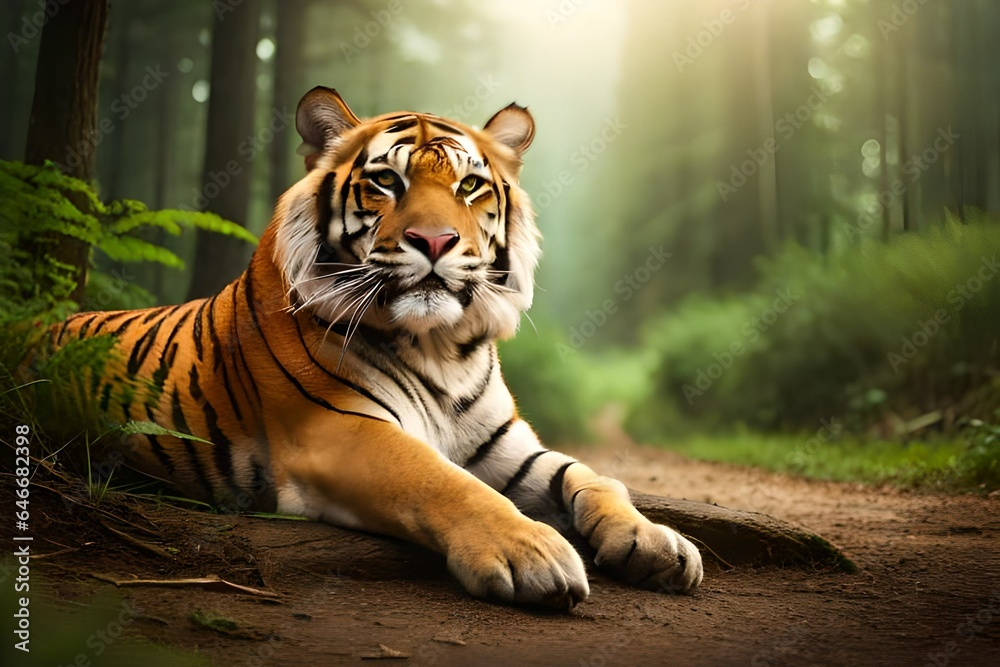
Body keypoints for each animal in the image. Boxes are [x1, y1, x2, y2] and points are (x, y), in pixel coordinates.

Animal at [43, 87, 703, 608]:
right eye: (387, 181)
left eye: (469, 185)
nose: (434, 241)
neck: (443, 347)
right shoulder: (339, 429)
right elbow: (440, 479)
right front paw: (533, 553)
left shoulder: (508, 448)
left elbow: (594, 477)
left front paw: (657, 542)